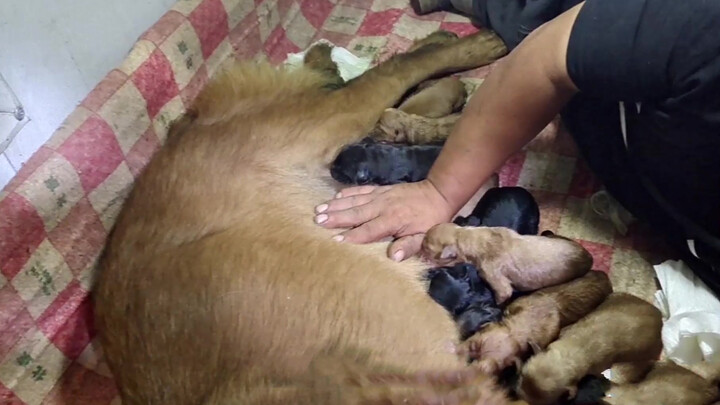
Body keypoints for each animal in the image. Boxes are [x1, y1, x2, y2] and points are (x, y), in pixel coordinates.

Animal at [420, 223, 592, 302]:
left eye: (425, 247)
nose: (418, 252)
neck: (464, 236)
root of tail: (590, 259)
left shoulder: (497, 281)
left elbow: (502, 295)